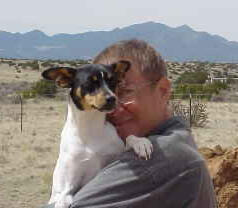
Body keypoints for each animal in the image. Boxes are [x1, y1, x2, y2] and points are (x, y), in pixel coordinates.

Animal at [41, 60, 153, 208]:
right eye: (90, 83)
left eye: (113, 82)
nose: (112, 98)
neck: (91, 126)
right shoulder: (67, 186)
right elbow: (63, 197)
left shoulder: (115, 157)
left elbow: (129, 138)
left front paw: (141, 143)